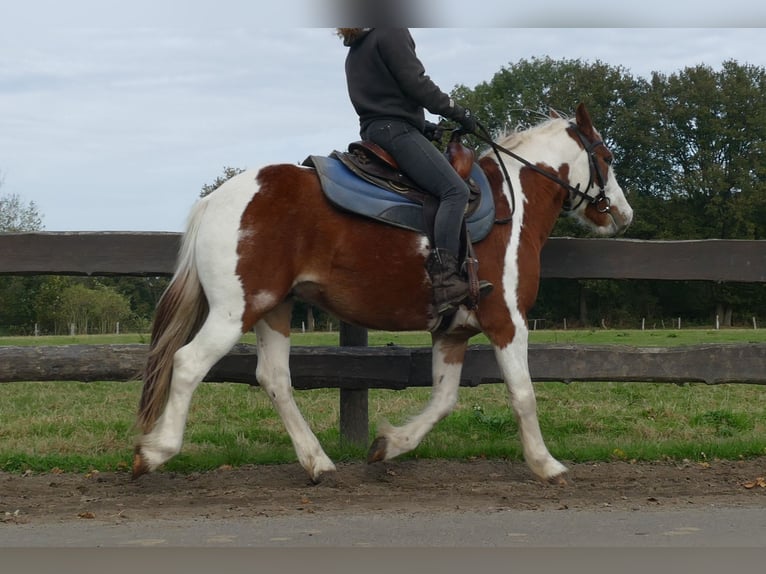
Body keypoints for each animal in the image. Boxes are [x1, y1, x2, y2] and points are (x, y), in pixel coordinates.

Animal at [134, 102, 636, 486]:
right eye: (608, 156)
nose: (623, 213)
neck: (511, 206)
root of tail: (215, 199)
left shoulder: (452, 333)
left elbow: (444, 399)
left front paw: (390, 445)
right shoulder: (506, 321)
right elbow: (523, 394)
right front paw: (547, 465)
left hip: (273, 309)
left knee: (274, 379)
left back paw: (317, 462)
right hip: (235, 310)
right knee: (188, 363)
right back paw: (155, 452)